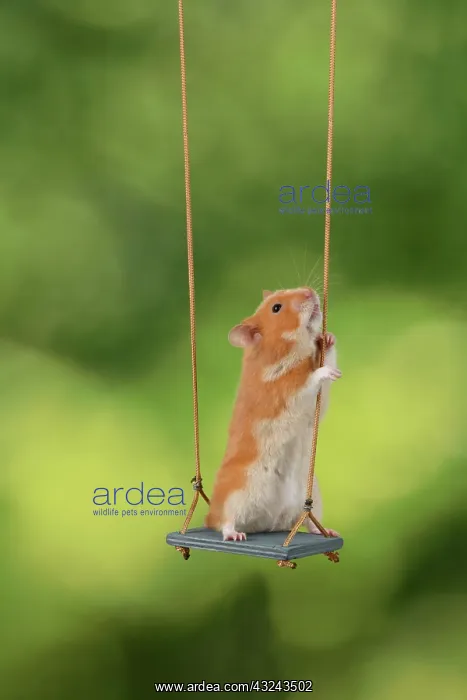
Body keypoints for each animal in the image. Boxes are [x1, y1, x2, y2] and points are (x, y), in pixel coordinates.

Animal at [205, 286, 341, 542]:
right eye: (276, 308)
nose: (309, 291)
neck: (286, 351)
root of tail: (269, 524)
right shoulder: (285, 392)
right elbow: (312, 379)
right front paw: (328, 370)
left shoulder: (316, 405)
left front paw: (327, 339)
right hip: (236, 494)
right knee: (224, 522)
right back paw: (235, 535)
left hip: (313, 496)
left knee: (310, 522)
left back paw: (327, 531)